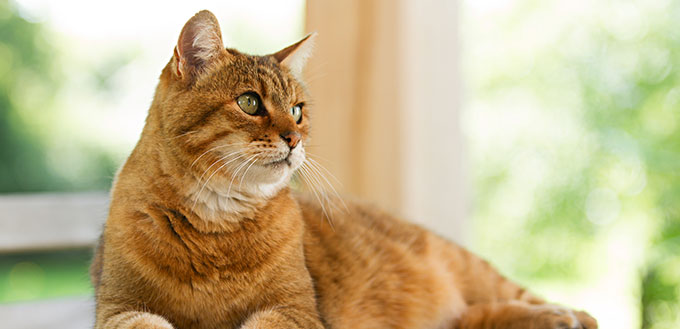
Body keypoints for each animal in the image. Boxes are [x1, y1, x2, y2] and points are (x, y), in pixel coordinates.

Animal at [91, 10, 600, 328]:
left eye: (297, 110)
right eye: (250, 102)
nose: (294, 139)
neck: (217, 225)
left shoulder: (295, 310)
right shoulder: (119, 308)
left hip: (468, 268)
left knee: (526, 299)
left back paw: (565, 315)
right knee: (474, 318)